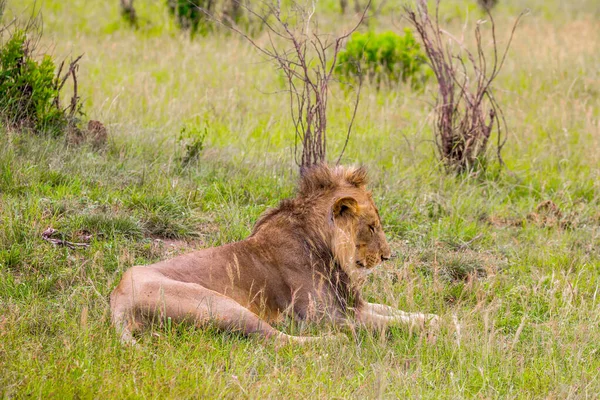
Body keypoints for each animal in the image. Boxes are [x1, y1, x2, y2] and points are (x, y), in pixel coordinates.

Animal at [110, 163, 438, 344]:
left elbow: (395, 312)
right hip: (219, 305)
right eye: (371, 227)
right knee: (277, 340)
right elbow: (387, 323)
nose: (387, 257)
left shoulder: (350, 305)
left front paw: (436, 318)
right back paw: (333, 342)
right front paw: (437, 329)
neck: (323, 246)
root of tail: (118, 297)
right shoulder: (324, 317)